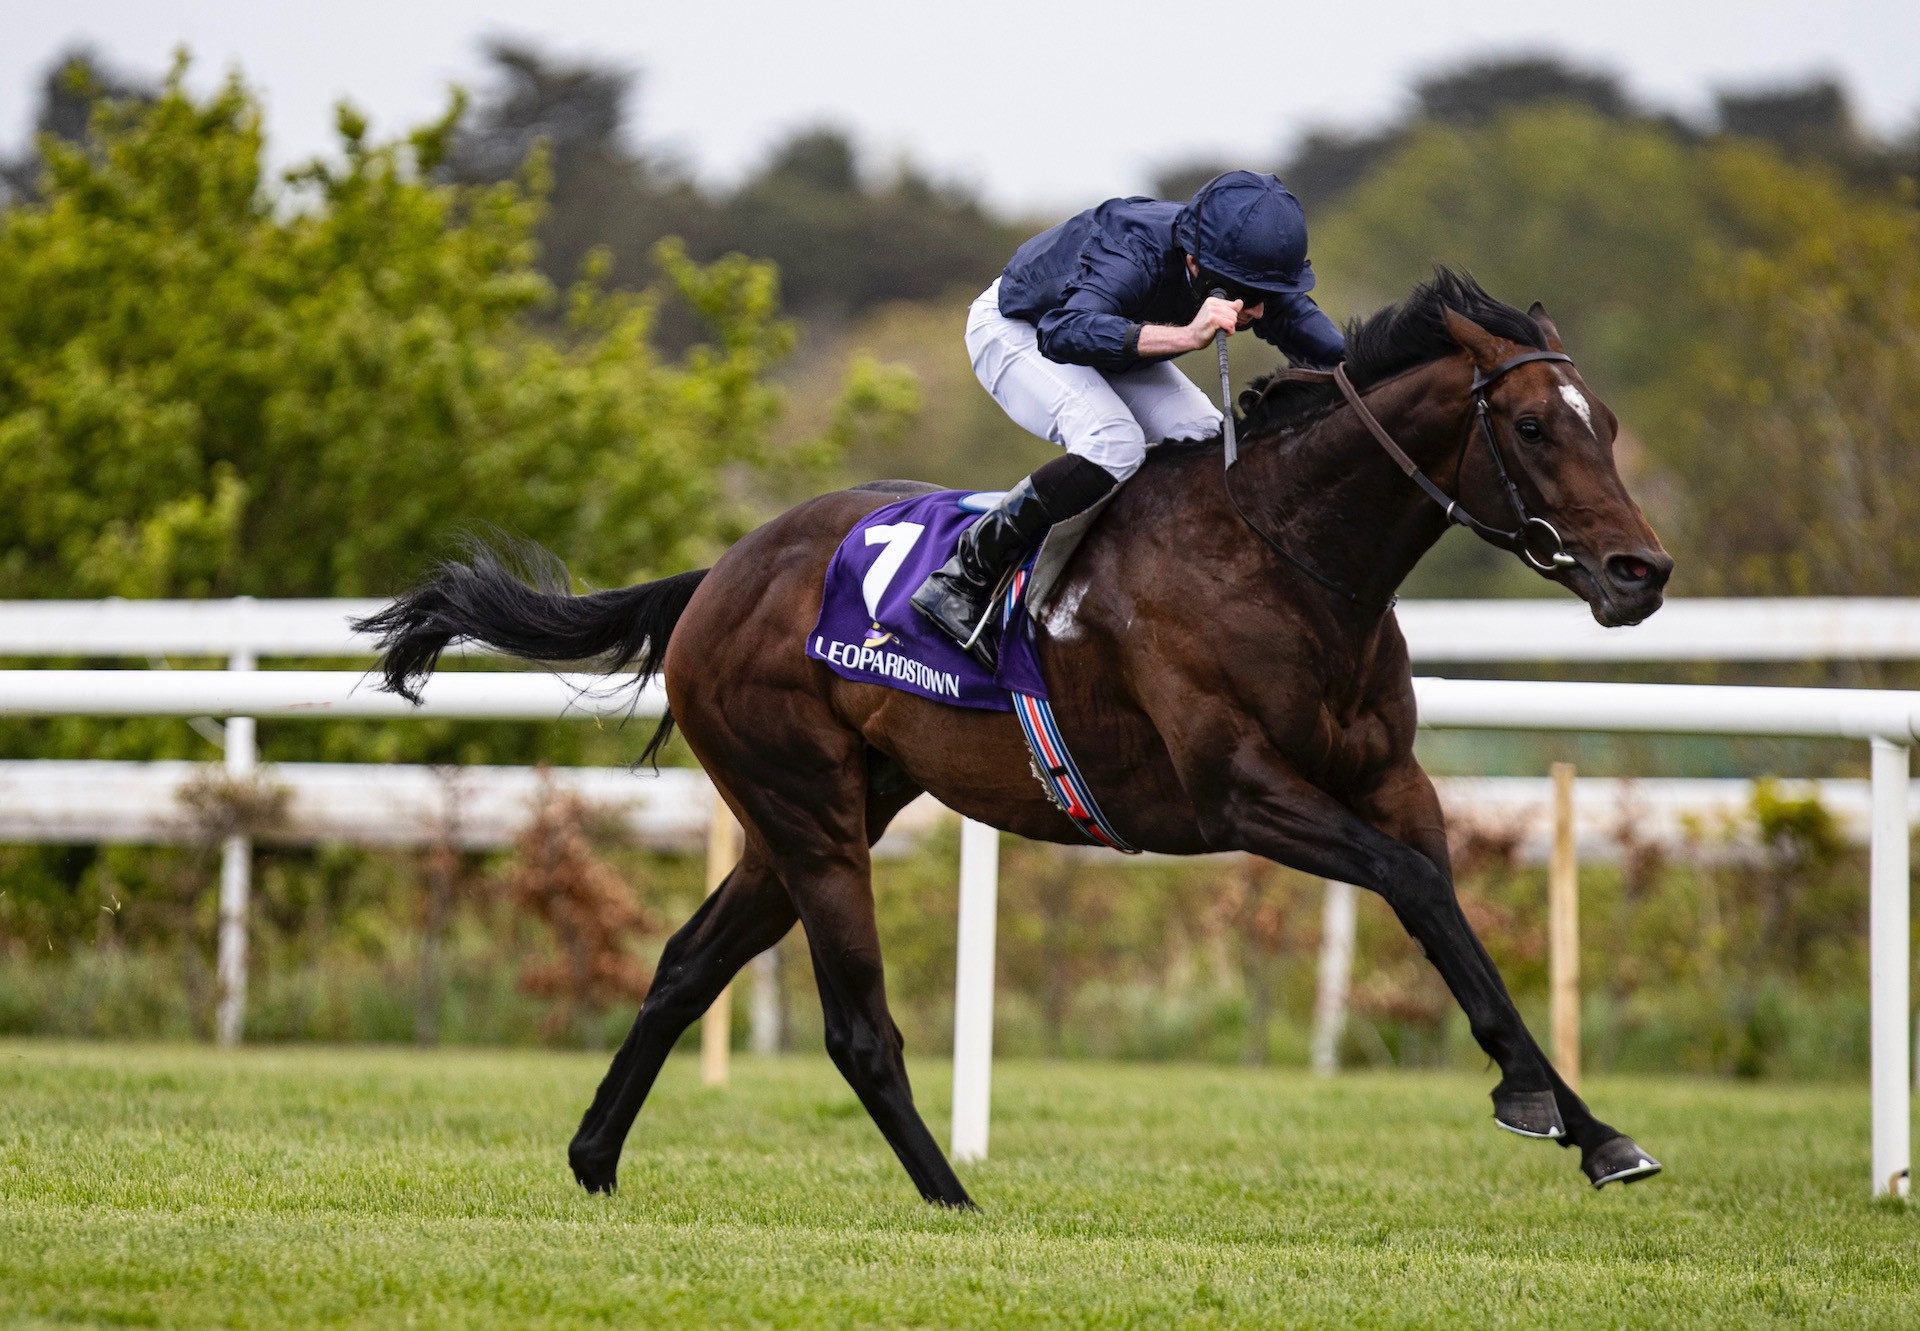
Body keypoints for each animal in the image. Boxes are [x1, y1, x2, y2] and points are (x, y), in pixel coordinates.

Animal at [357, 270, 1666, 1206]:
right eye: (1537, 425)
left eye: (1608, 420)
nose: (1639, 571)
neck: (1283, 556)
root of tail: (719, 573)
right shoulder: (1241, 792)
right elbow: (1414, 888)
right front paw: (1546, 1103)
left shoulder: (1391, 781)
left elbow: (1449, 918)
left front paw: (1592, 1126)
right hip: (809, 811)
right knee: (857, 1026)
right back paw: (952, 1198)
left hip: (822, 809)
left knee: (684, 964)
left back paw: (594, 1156)